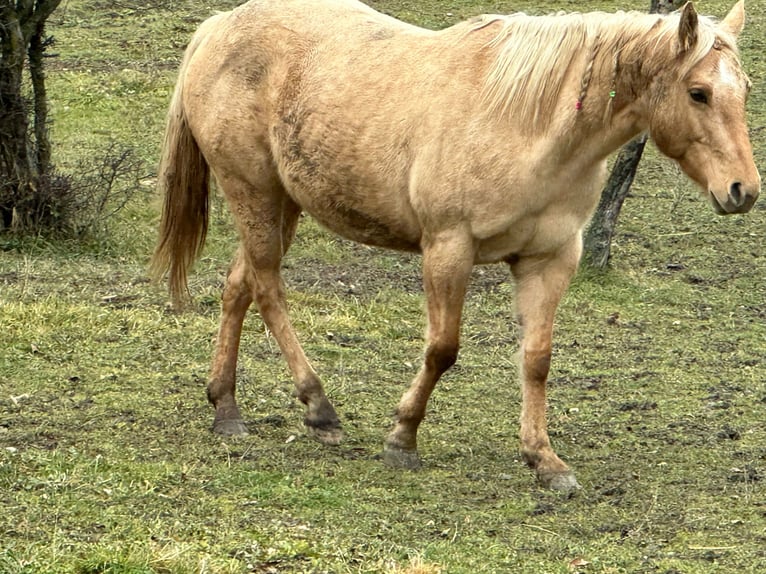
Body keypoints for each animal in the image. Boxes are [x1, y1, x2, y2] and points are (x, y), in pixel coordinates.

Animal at [152, 0, 760, 490]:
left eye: (746, 91)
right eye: (699, 93)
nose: (743, 190)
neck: (525, 125)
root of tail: (218, 26)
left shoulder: (550, 260)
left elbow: (536, 359)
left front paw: (544, 460)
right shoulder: (449, 248)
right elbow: (442, 349)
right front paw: (402, 439)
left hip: (283, 201)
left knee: (241, 285)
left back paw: (226, 407)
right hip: (252, 191)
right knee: (268, 288)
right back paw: (319, 408)